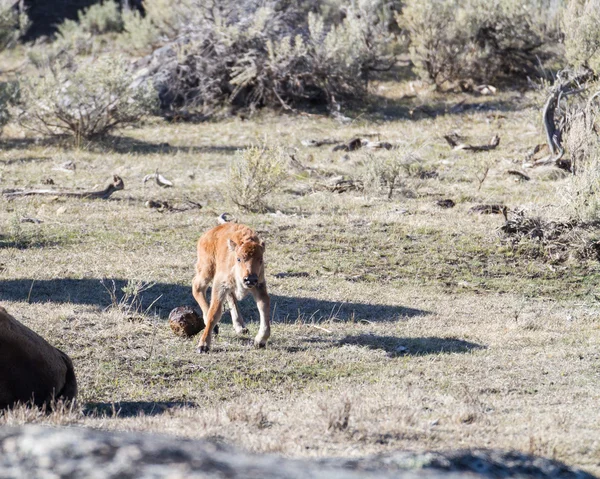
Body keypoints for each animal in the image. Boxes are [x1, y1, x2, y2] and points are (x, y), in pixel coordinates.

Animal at [192, 224, 270, 352]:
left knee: (231, 297)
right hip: (207, 269)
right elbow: (214, 313)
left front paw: (260, 341)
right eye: (239, 259)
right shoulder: (220, 285)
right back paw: (214, 327)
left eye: (261, 259)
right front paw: (203, 346)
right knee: (197, 286)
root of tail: (207, 234)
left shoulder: (259, 285)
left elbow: (263, 307)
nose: (250, 279)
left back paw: (241, 327)